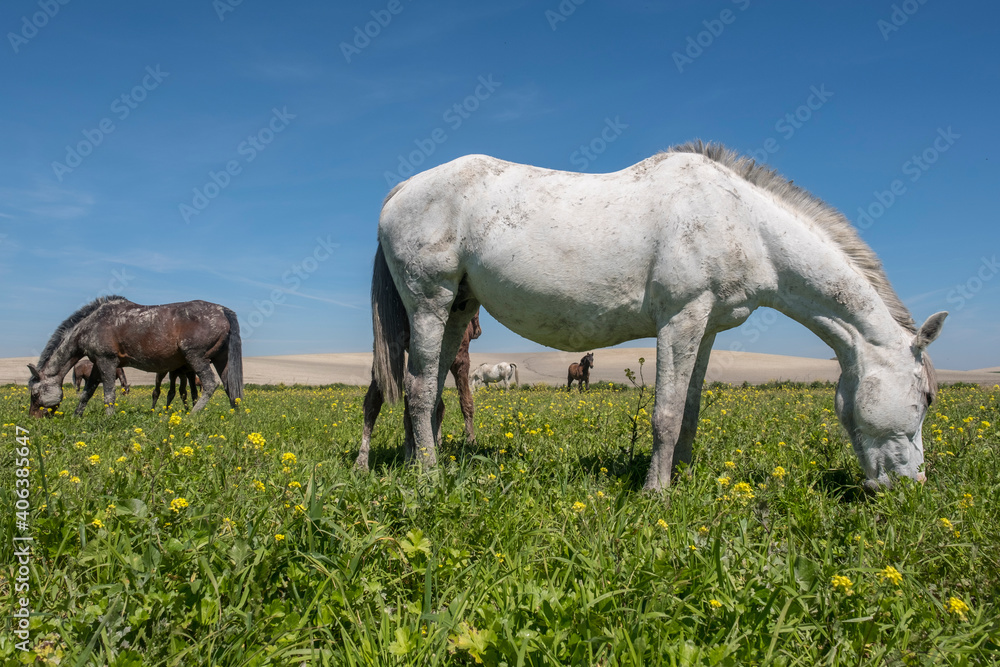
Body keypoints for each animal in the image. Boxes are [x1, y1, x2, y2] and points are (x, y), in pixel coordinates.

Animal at [28, 296, 243, 417]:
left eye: (35, 394)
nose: (33, 418)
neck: (90, 325)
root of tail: (222, 310)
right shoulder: (98, 364)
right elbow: (87, 393)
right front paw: (76, 416)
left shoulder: (107, 361)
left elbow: (109, 395)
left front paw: (109, 419)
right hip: (221, 360)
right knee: (230, 388)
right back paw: (237, 418)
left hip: (196, 358)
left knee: (210, 384)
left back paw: (192, 415)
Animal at [357, 310, 481, 470]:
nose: (477, 331)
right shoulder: (459, 353)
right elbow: (465, 401)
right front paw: (471, 443)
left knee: (374, 399)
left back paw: (362, 464)